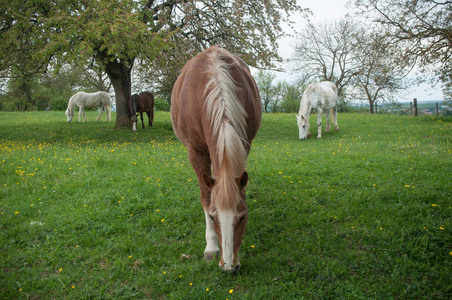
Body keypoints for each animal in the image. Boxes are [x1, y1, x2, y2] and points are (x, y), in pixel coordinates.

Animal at [170, 45, 262, 272]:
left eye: (243, 216)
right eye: (212, 216)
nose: (229, 266)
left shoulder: (244, 144)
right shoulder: (195, 151)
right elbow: (205, 196)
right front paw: (211, 247)